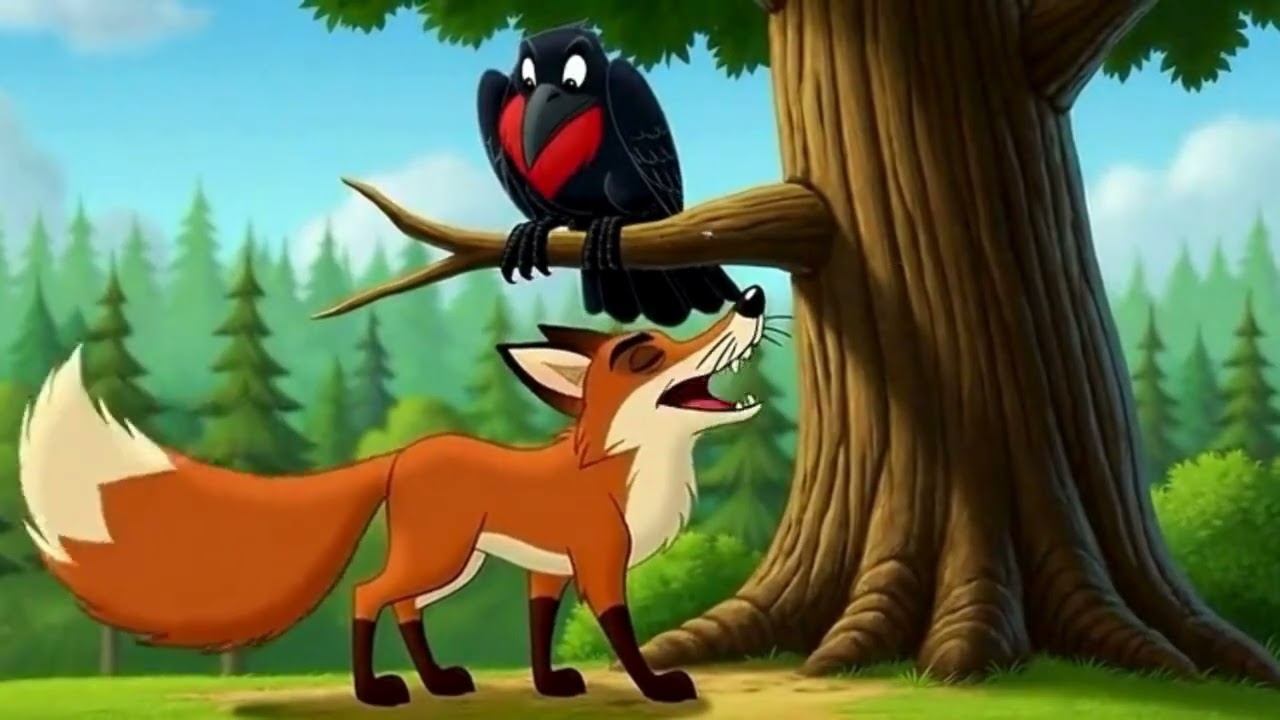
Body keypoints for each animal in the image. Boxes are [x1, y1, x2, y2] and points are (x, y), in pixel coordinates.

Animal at [17, 284, 771, 707]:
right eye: (647, 355)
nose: (753, 299)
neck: (621, 467)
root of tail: (402, 455)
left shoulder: (547, 571)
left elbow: (537, 633)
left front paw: (551, 684)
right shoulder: (597, 563)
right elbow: (624, 636)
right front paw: (658, 689)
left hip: (456, 563)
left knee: (404, 606)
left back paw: (435, 682)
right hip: (443, 556)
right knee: (368, 594)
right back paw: (376, 692)